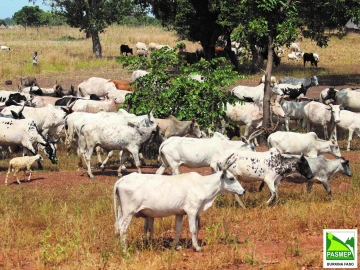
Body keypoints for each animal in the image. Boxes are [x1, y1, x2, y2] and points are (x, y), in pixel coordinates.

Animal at [114, 155, 246, 252]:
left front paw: (175, 246)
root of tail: (122, 180)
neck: (202, 185)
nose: (243, 191)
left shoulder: (180, 213)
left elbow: (177, 229)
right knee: (123, 229)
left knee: (117, 227)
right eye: (231, 178)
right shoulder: (192, 211)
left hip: (121, 212)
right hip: (129, 212)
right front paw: (196, 247)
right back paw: (125, 250)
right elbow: (193, 229)